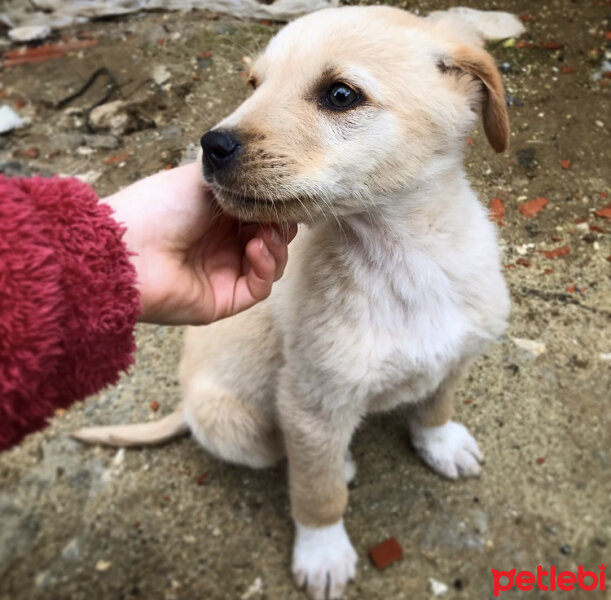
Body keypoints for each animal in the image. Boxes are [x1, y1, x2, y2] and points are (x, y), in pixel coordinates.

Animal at [74, 7, 512, 596]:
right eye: (253, 84)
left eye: (341, 94)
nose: (211, 146)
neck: (405, 266)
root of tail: (185, 407)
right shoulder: (310, 404)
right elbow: (318, 493)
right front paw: (322, 551)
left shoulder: (457, 353)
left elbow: (436, 403)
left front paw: (440, 444)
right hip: (240, 426)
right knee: (291, 459)